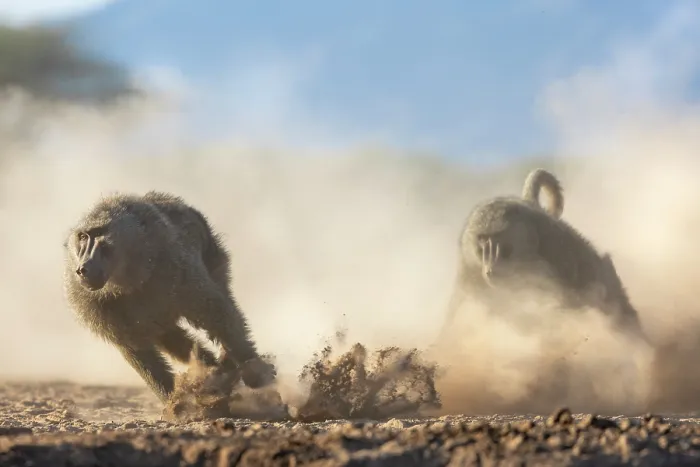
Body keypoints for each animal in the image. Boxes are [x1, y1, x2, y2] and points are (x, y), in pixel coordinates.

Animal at [63, 191, 276, 403]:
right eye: (83, 237)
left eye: (99, 235)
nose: (84, 268)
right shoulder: (94, 304)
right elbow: (138, 350)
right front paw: (174, 401)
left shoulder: (174, 266)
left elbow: (215, 314)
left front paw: (254, 370)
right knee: (170, 336)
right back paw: (210, 369)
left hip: (211, 250)